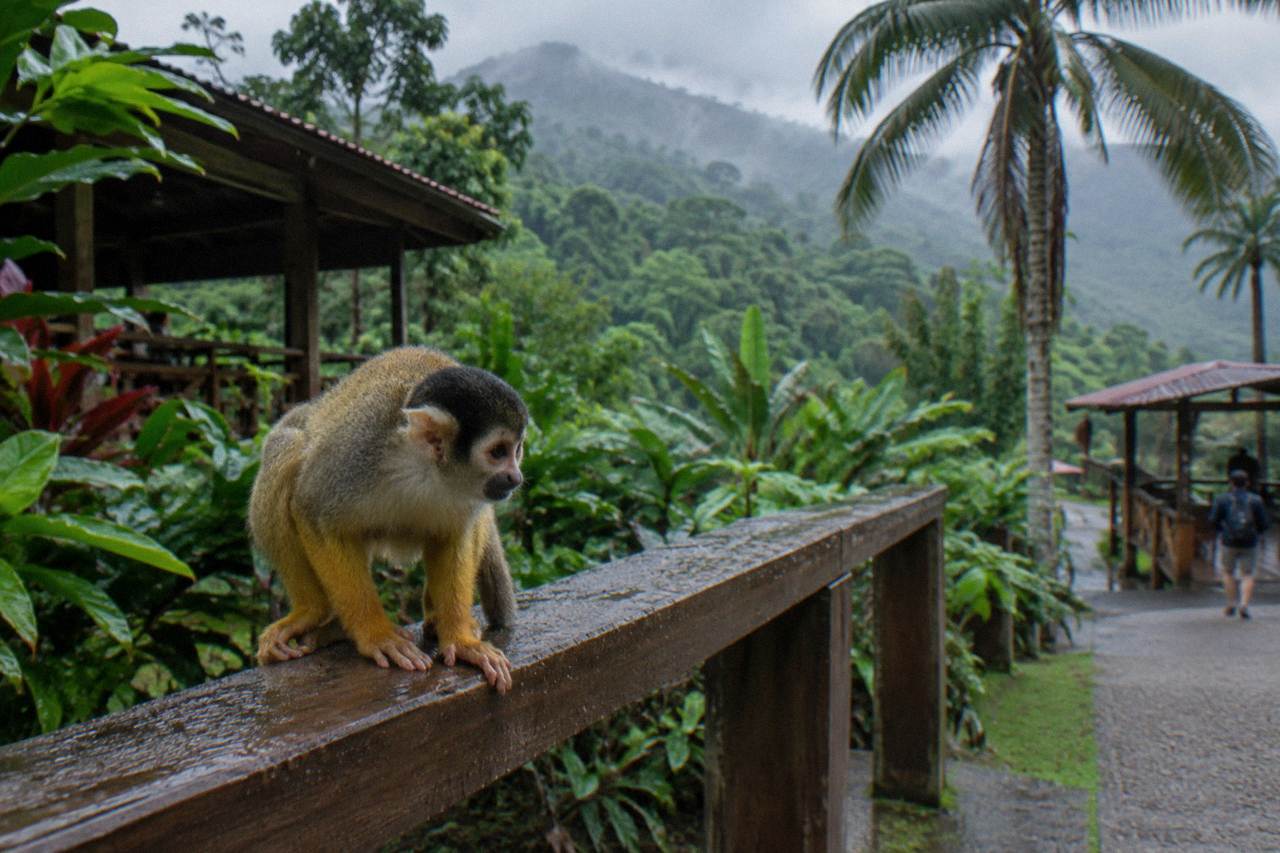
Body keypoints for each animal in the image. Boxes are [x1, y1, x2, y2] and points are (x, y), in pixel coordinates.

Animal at [248, 347, 526, 694]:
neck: (423, 467)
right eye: (498, 452)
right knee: (289, 447)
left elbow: (454, 538)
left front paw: (461, 640)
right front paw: (376, 635)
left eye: (517, 450)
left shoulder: (467, 493)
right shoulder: (356, 453)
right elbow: (313, 512)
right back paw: (312, 612)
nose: (516, 477)